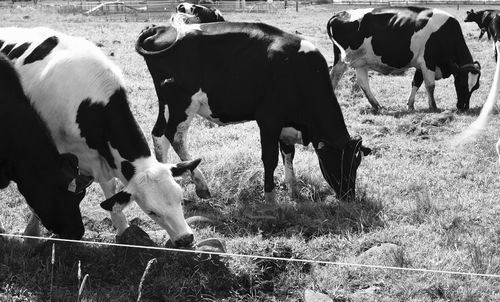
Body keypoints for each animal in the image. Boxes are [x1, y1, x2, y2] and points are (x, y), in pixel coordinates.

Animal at [326, 7, 482, 113]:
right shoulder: (428, 61)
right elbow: (430, 85)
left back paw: (377, 106)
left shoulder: (420, 64)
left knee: (363, 83)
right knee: (334, 78)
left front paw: (411, 105)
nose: (464, 107)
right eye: (461, 83)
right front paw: (433, 107)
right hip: (342, 60)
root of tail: (340, 14)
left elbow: (416, 83)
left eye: (476, 87)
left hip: (361, 61)